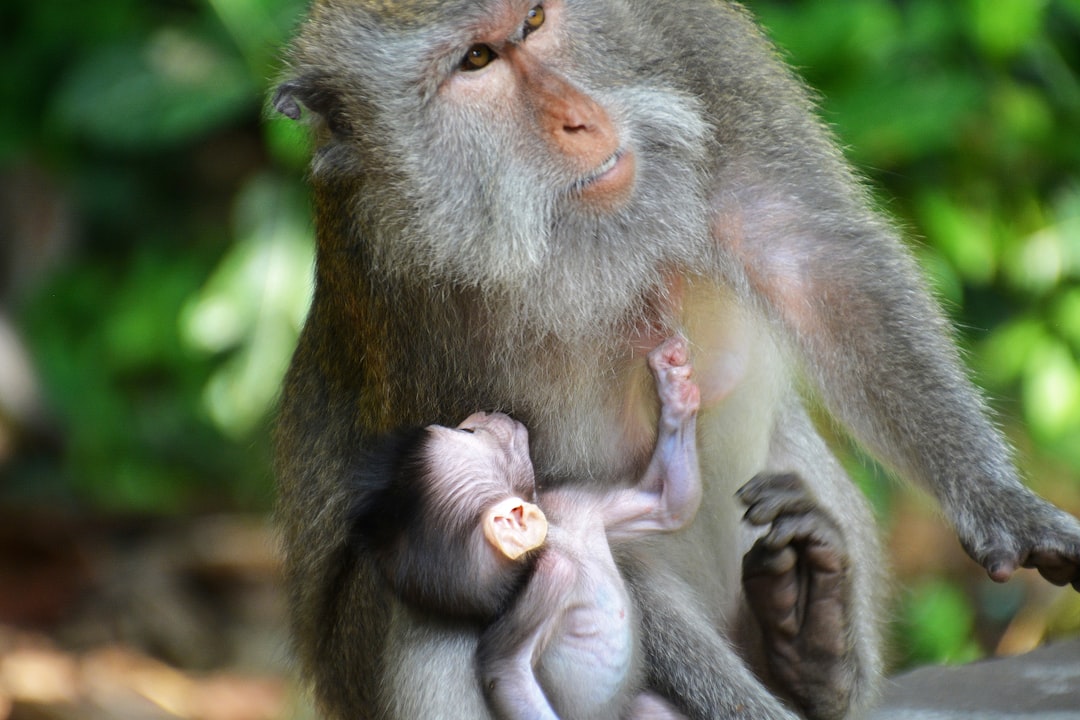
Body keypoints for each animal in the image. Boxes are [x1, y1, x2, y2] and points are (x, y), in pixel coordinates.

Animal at [352, 338, 699, 720]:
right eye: (468, 432)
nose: (480, 414)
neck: (558, 542)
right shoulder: (550, 579)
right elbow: (505, 673)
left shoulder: (572, 507)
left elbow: (667, 504)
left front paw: (675, 386)